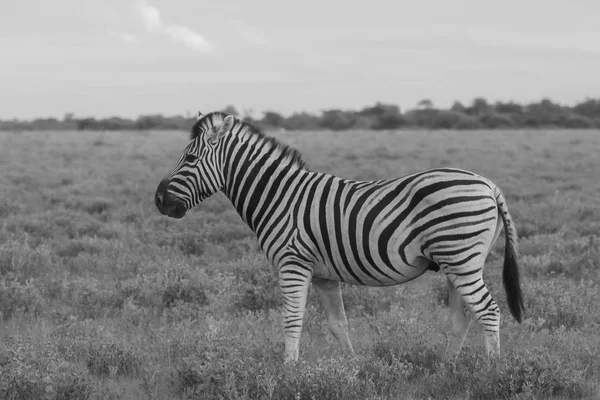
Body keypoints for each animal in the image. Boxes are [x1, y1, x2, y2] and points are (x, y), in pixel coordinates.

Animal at [156, 111, 524, 364]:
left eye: (190, 158)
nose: (159, 200)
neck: (278, 195)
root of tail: (489, 184)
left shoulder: (292, 264)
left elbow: (292, 320)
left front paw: (288, 371)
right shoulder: (323, 275)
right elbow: (338, 324)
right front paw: (352, 368)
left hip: (460, 258)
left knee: (488, 310)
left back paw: (491, 372)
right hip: (457, 263)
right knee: (462, 317)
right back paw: (448, 367)